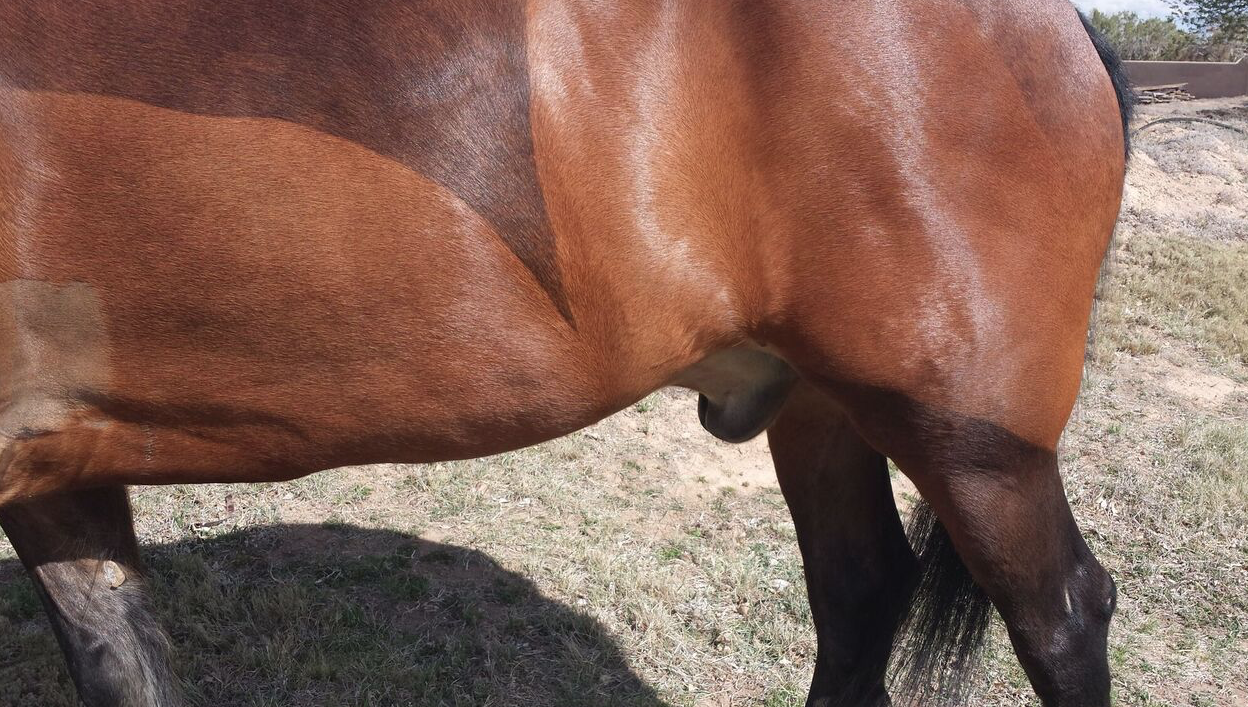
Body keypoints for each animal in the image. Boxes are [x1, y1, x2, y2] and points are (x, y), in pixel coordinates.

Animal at [0, 1, 1132, 705]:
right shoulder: (58, 466)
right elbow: (119, 661)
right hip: (825, 405)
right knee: (858, 593)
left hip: (972, 436)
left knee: (1064, 616)